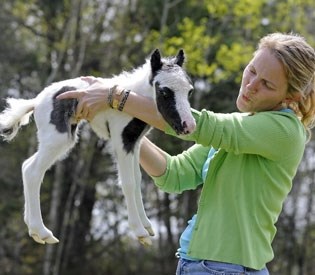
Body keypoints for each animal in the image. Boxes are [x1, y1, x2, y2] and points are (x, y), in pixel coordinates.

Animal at [0, 49, 196, 248]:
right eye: (164, 92)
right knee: (32, 171)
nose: (188, 126)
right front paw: (139, 231)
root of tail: (36, 101)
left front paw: (146, 225)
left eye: (189, 91)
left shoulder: (135, 142)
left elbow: (137, 179)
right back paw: (42, 231)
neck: (135, 98)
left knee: (26, 166)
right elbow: (128, 182)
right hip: (58, 138)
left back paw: (33, 229)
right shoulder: (121, 140)